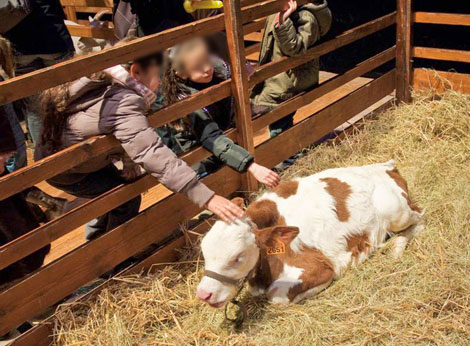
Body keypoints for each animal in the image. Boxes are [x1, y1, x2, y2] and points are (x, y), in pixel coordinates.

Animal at [196, 159, 424, 306]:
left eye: (238, 257)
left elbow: (278, 296)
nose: (204, 294)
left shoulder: (320, 268)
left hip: (397, 212)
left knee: (420, 218)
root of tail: (386, 166)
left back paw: (396, 247)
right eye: (205, 254)